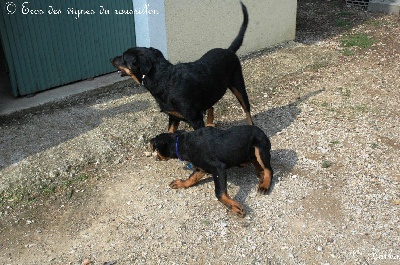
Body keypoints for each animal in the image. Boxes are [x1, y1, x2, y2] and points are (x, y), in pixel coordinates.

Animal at [109, 3, 253, 132]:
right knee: (211, 106)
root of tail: (229, 50)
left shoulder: (195, 119)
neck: (164, 79)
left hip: (238, 86)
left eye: (123, 57)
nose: (111, 59)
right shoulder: (173, 117)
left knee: (247, 110)